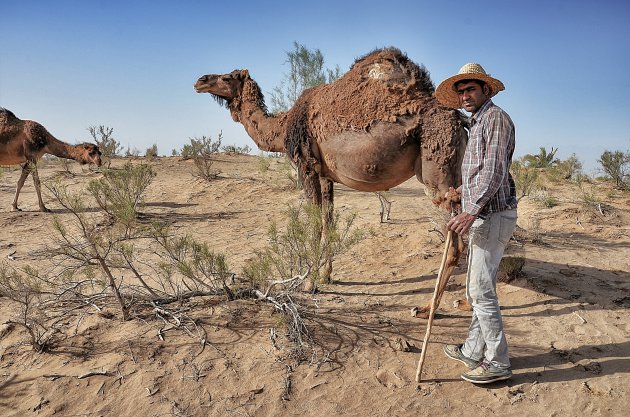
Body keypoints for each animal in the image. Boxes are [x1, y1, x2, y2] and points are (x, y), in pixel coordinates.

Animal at [196, 48, 470, 316]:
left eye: (227, 77)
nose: (200, 80)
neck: (282, 128)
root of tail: (461, 121)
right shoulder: (326, 175)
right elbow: (328, 219)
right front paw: (326, 275)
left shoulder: (306, 165)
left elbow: (315, 221)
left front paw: (309, 283)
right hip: (459, 170)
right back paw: (464, 302)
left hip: (436, 169)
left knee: (455, 239)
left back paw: (427, 308)